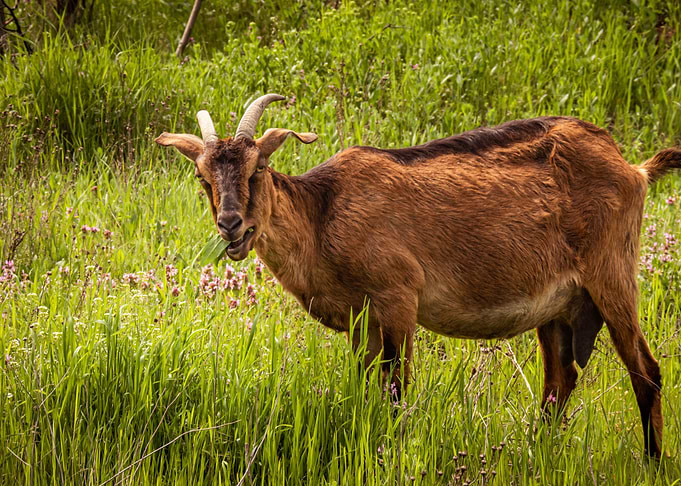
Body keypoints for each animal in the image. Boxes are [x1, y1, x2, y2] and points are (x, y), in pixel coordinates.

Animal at [156, 93, 681, 458]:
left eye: (258, 168)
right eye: (203, 178)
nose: (231, 225)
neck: (323, 215)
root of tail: (633, 168)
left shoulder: (398, 297)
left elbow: (398, 390)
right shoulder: (361, 321)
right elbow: (367, 389)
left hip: (612, 277)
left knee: (646, 372)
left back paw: (652, 461)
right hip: (557, 305)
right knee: (560, 382)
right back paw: (538, 452)